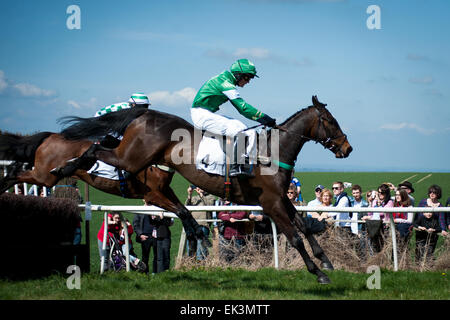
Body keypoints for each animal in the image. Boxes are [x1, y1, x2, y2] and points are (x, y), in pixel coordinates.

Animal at [57, 94, 352, 282]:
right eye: (331, 120)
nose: (348, 148)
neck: (270, 151)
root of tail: (145, 113)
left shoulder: (281, 198)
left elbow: (303, 226)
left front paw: (326, 260)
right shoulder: (271, 203)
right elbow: (294, 236)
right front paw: (318, 272)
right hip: (131, 159)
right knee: (96, 149)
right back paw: (65, 168)